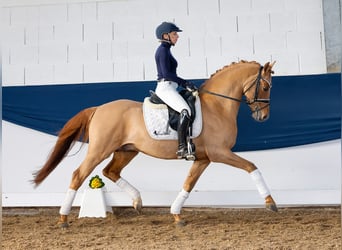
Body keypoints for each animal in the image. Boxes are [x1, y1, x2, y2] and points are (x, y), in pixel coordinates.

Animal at [32, 60, 278, 227]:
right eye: (266, 87)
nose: (264, 117)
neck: (217, 106)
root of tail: (99, 108)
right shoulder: (220, 153)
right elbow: (252, 167)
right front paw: (270, 202)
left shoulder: (203, 158)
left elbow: (188, 184)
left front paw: (176, 214)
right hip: (99, 150)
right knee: (79, 174)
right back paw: (63, 218)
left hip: (126, 151)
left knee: (110, 171)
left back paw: (138, 202)